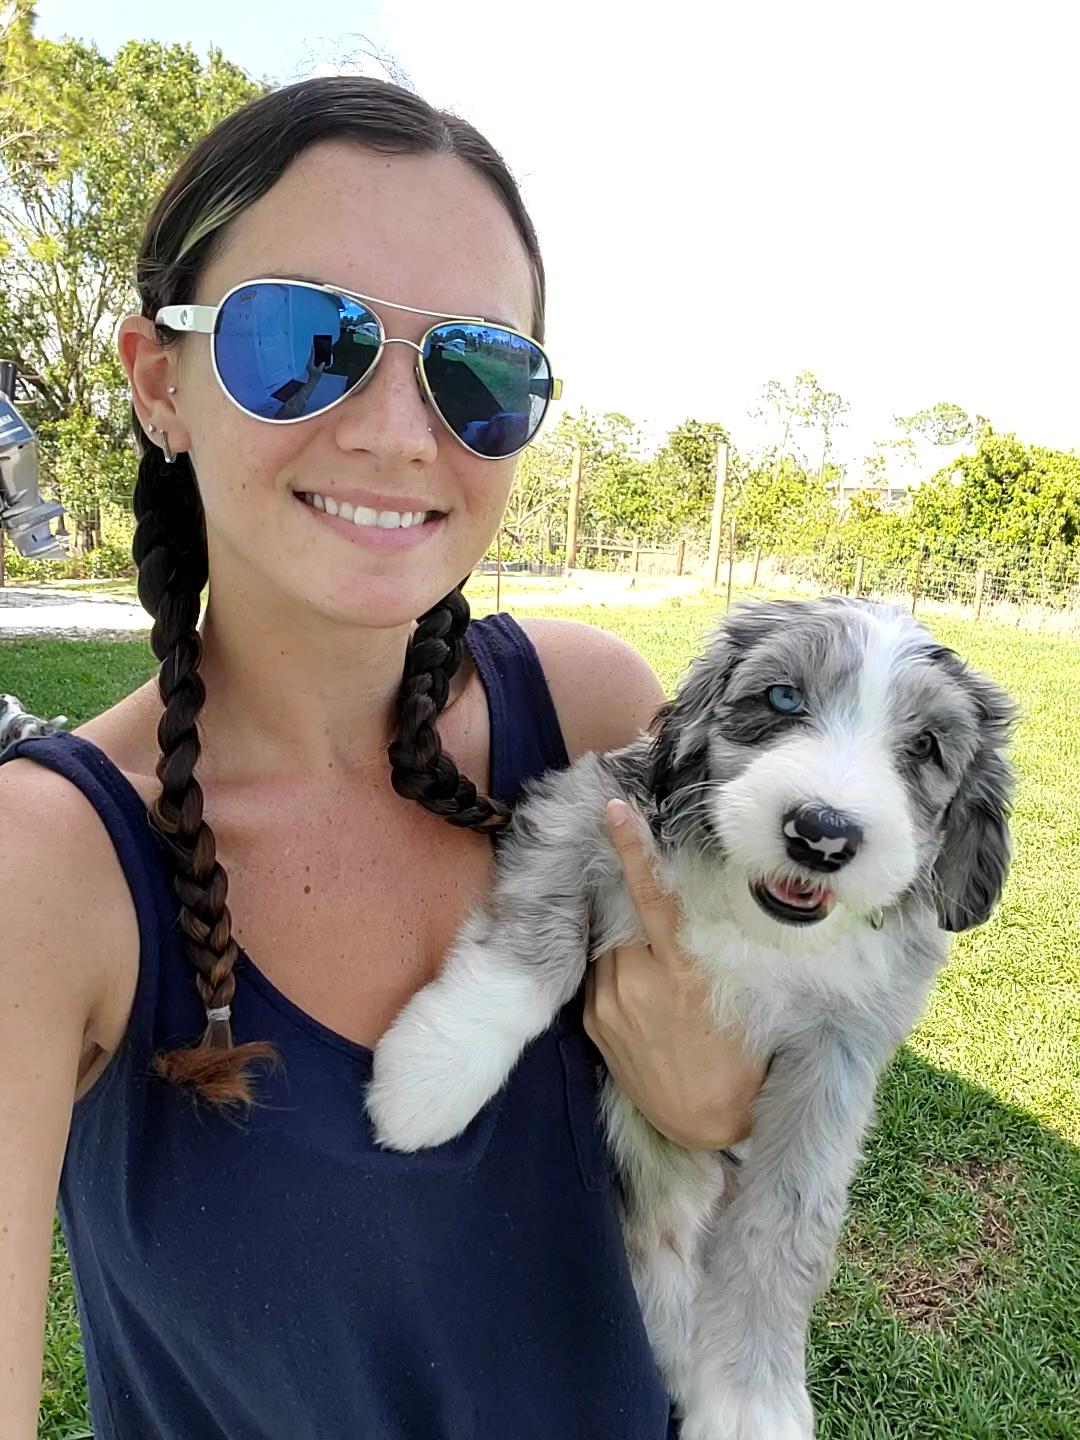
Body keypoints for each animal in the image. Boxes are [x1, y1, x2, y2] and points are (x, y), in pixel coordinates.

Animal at [367, 597, 1014, 1438]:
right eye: (782, 698)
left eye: (926, 746)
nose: (823, 832)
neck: (753, 919)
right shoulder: (589, 806)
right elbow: (538, 947)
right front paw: (434, 1074)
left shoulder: (841, 1053)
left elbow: (788, 1219)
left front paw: (751, 1400)